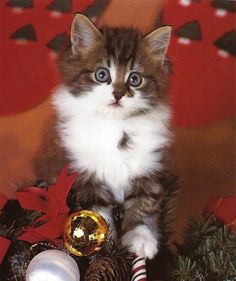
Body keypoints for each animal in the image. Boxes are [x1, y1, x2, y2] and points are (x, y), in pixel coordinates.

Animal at [34, 13, 171, 258]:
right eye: (102, 75)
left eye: (135, 79)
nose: (118, 94)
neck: (114, 123)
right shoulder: (83, 172)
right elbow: (98, 212)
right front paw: (107, 245)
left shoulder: (150, 164)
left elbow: (144, 202)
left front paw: (141, 239)